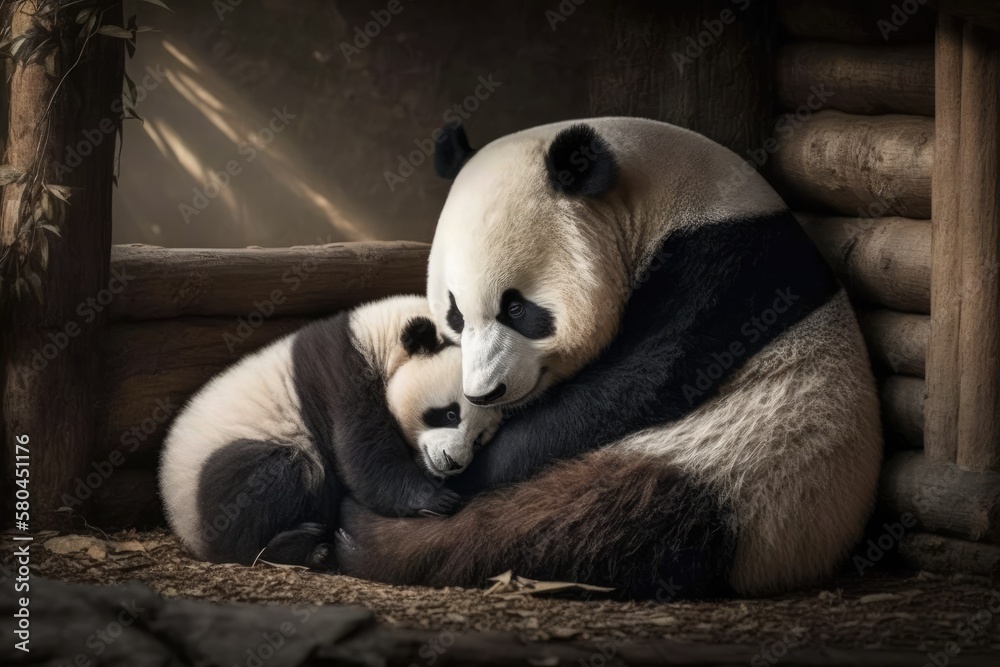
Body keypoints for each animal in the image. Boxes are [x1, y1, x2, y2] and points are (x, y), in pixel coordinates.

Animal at [158, 294, 498, 568]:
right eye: (450, 414)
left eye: (479, 440)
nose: (453, 463)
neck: (376, 337)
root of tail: (179, 521)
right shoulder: (341, 375)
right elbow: (364, 455)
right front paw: (436, 498)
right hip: (218, 467)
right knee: (266, 479)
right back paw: (297, 546)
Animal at [338, 117, 884, 596]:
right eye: (454, 314)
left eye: (517, 308)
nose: (485, 393)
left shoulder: (730, 269)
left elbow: (638, 381)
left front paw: (480, 466)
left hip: (736, 476)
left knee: (573, 530)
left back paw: (362, 536)